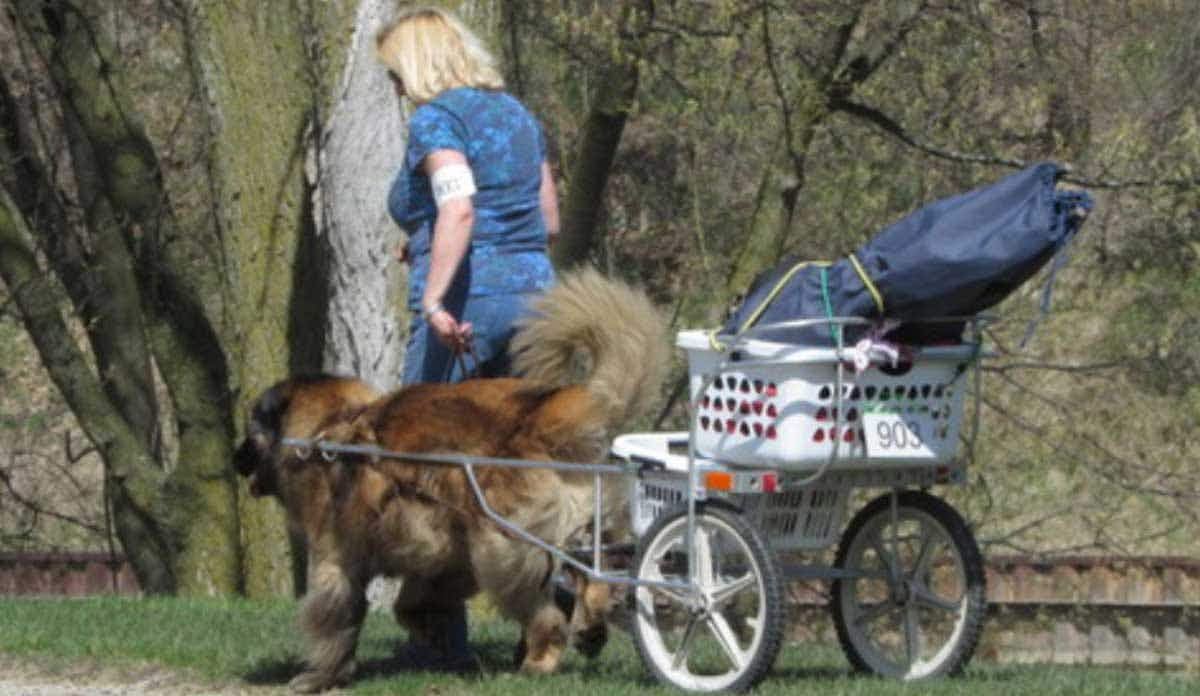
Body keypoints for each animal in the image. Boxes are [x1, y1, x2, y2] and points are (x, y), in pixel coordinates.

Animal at [229, 267, 672, 691]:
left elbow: (334, 615)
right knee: (594, 576)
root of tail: (540, 416)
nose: (236, 458)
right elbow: (409, 606)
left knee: (548, 610)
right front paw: (435, 643)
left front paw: (321, 675)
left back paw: (538, 661)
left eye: (251, 430)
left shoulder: (336, 556)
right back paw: (589, 628)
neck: (323, 431)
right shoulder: (438, 553)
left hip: (499, 548)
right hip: (575, 525)